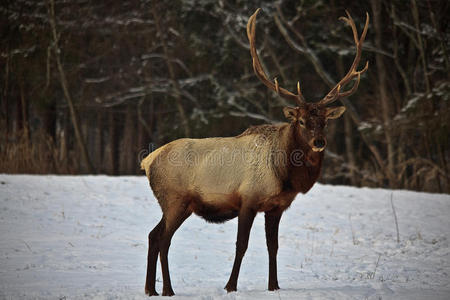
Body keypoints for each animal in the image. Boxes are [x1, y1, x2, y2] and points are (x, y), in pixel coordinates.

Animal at [142, 8, 370, 296]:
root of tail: (147, 161)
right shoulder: (248, 199)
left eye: (325, 121)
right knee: (163, 239)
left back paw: (151, 289)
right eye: (302, 121)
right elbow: (241, 245)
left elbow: (273, 246)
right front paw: (230, 286)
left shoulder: (277, 207)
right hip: (174, 199)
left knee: (153, 235)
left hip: (178, 204)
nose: (319, 142)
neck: (285, 175)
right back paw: (167, 290)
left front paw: (274, 286)